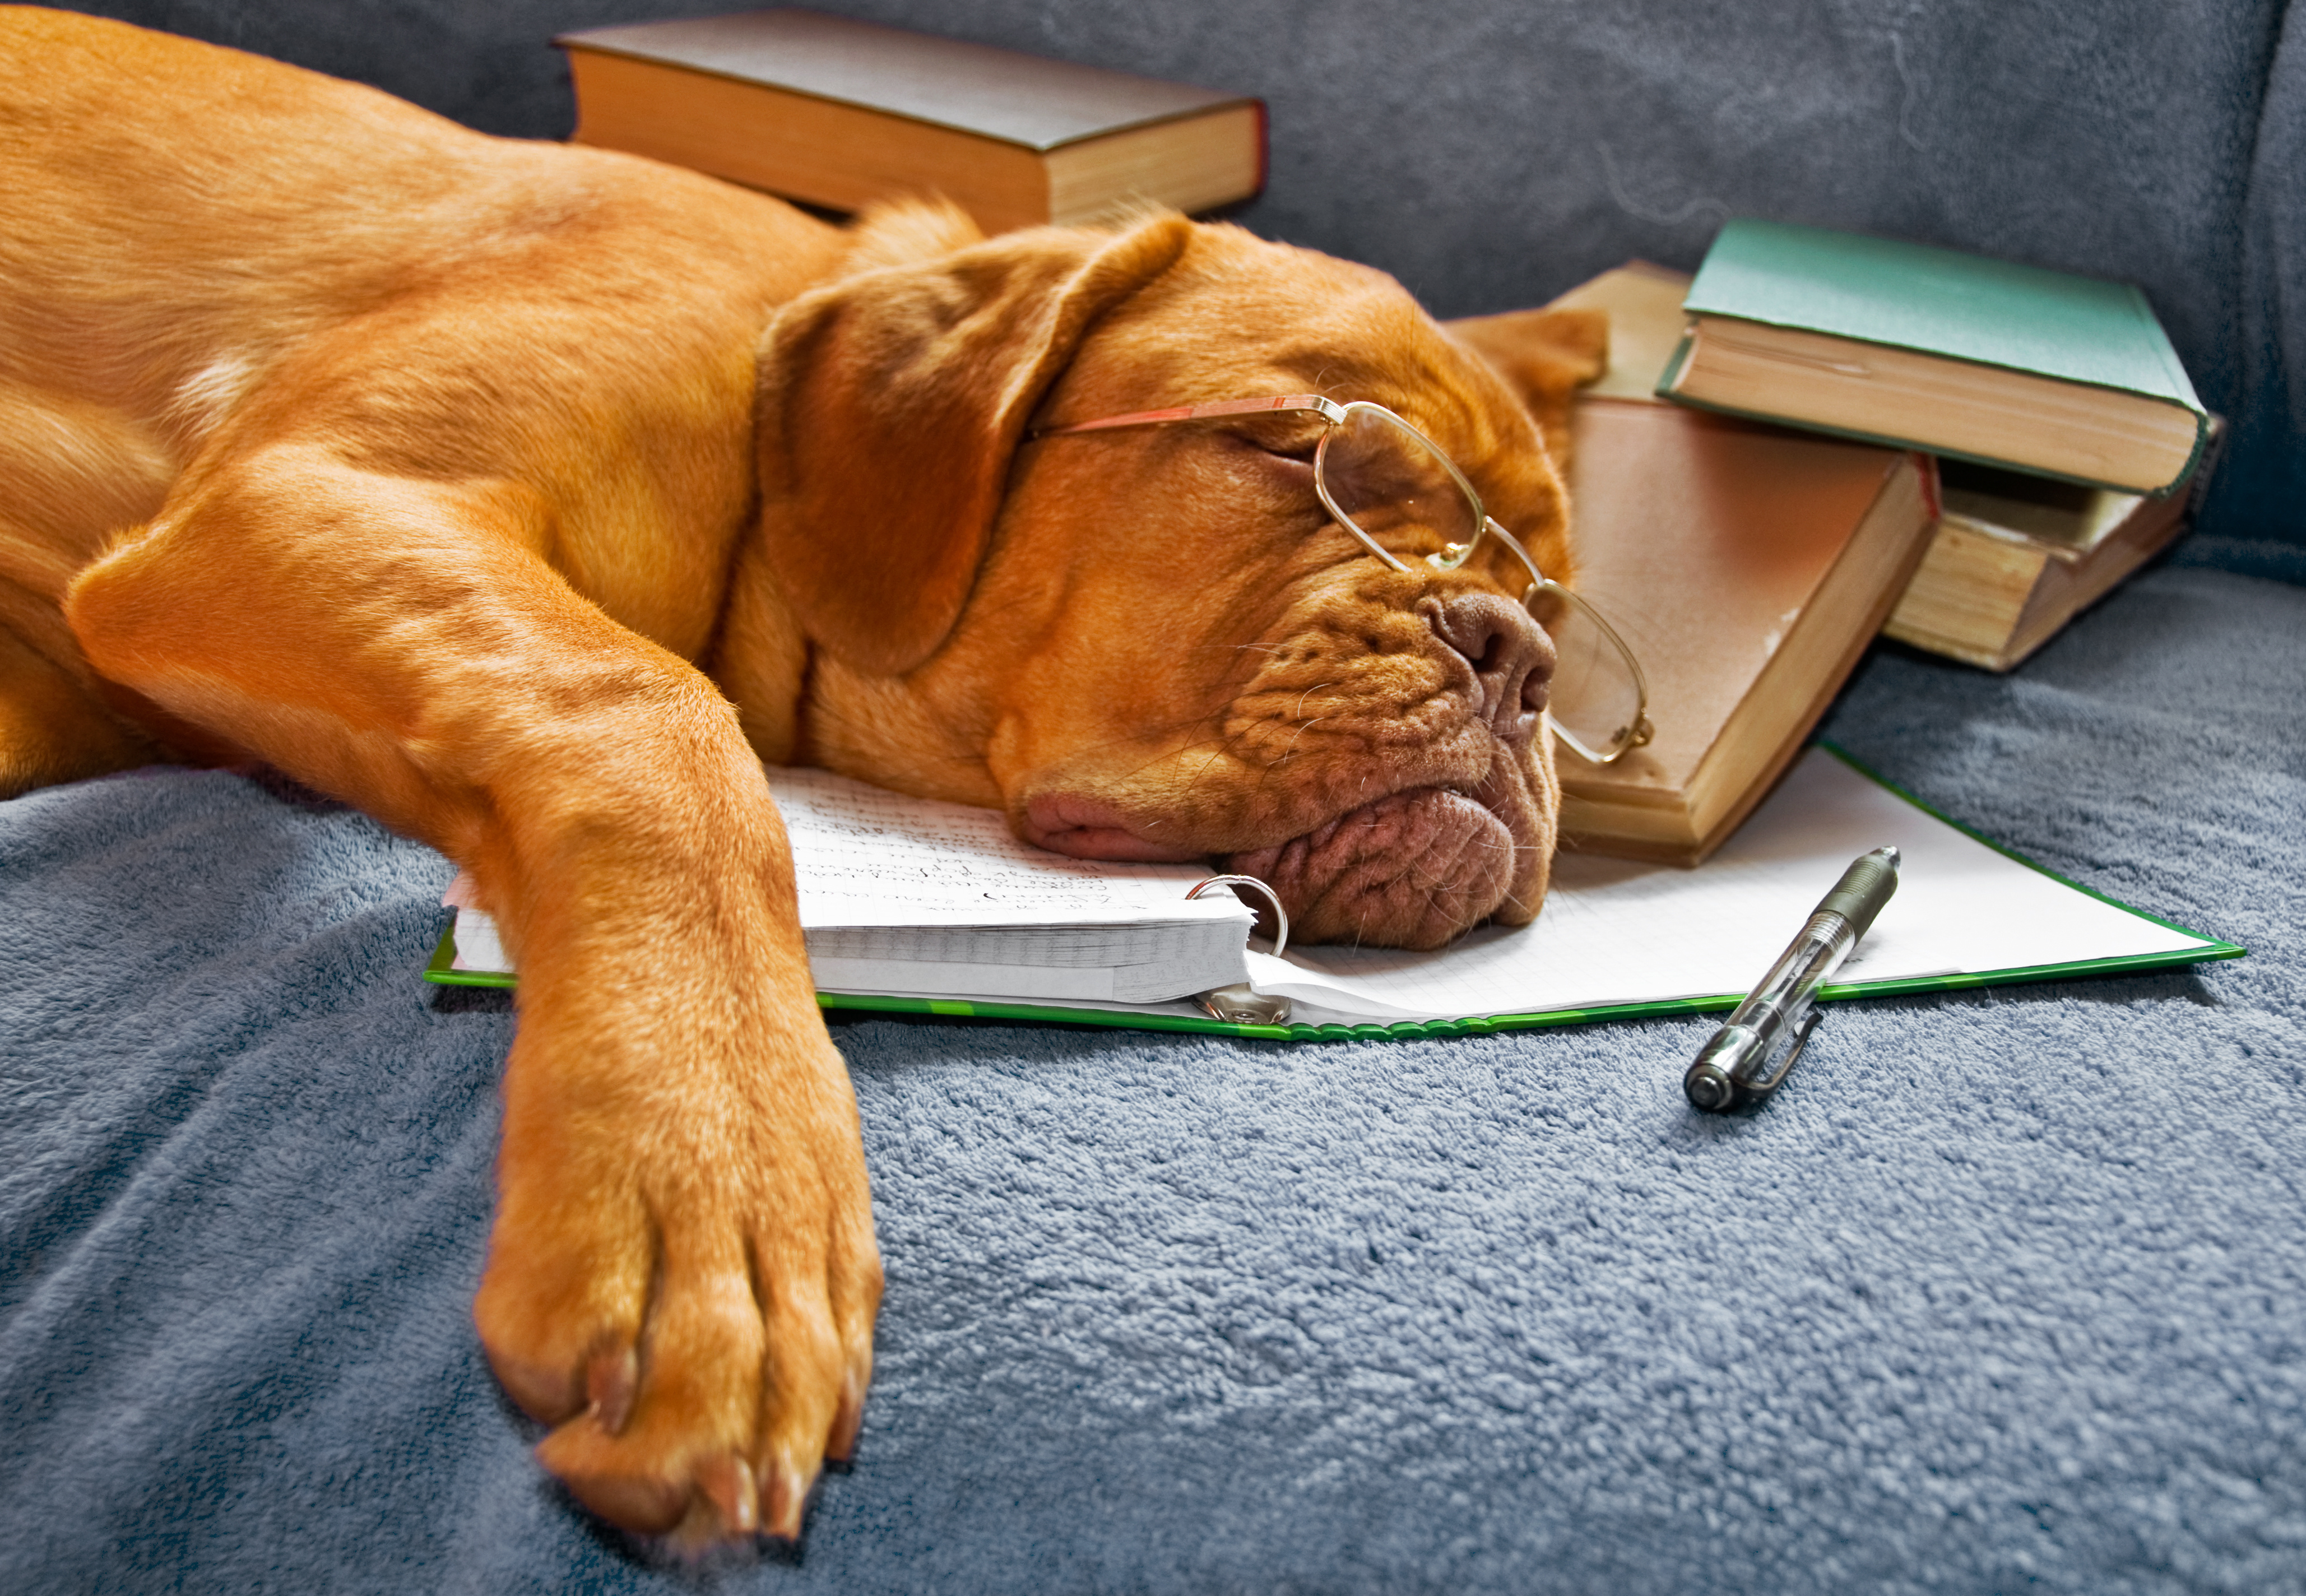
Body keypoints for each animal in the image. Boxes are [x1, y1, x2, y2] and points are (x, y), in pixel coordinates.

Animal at [0, 3, 1614, 1549]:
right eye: (1310, 458)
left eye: (1555, 592)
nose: (1518, 652)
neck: (768, 439)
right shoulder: (312, 498)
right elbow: (656, 718)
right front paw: (712, 1168)